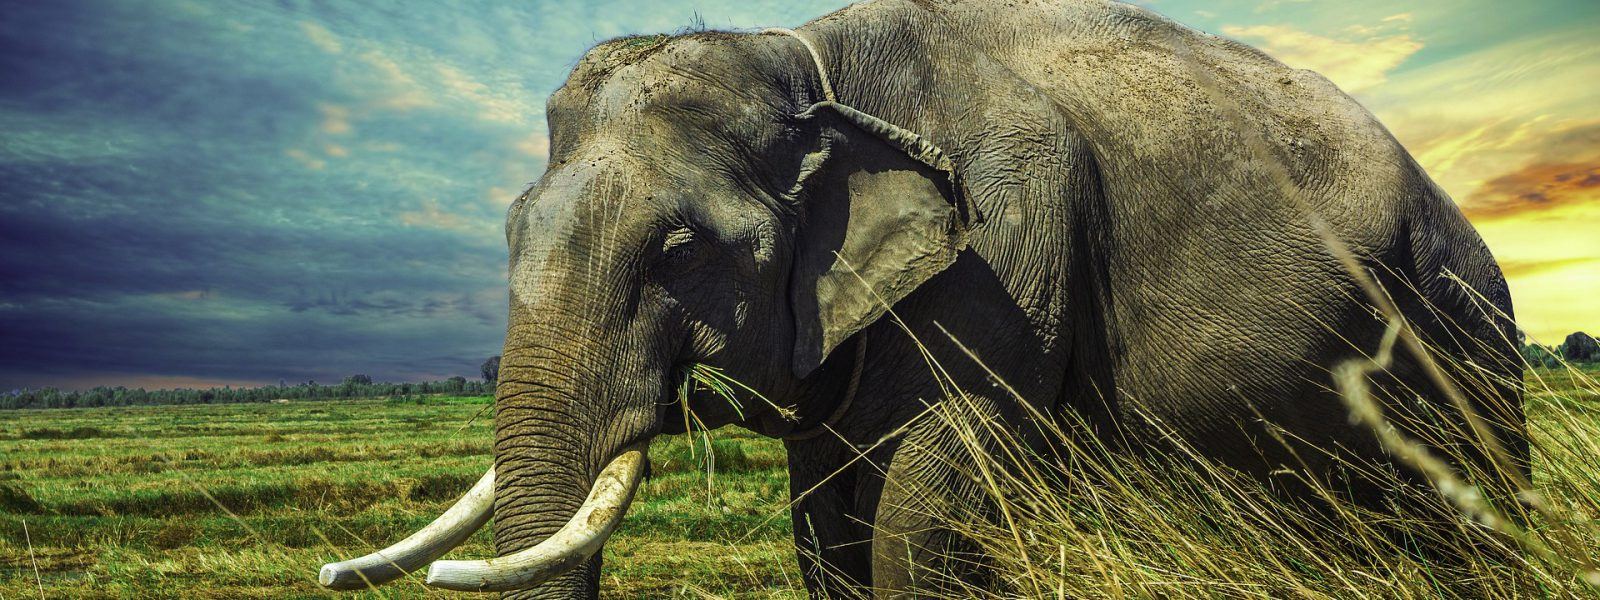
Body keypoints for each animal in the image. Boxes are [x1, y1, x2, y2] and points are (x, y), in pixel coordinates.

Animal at [318, 0, 1528, 597]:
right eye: (510, 231)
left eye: (679, 245)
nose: (330, 570)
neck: (803, 58)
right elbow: (826, 526)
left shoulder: (1010, 245)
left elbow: (924, 502)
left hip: (1465, 320)